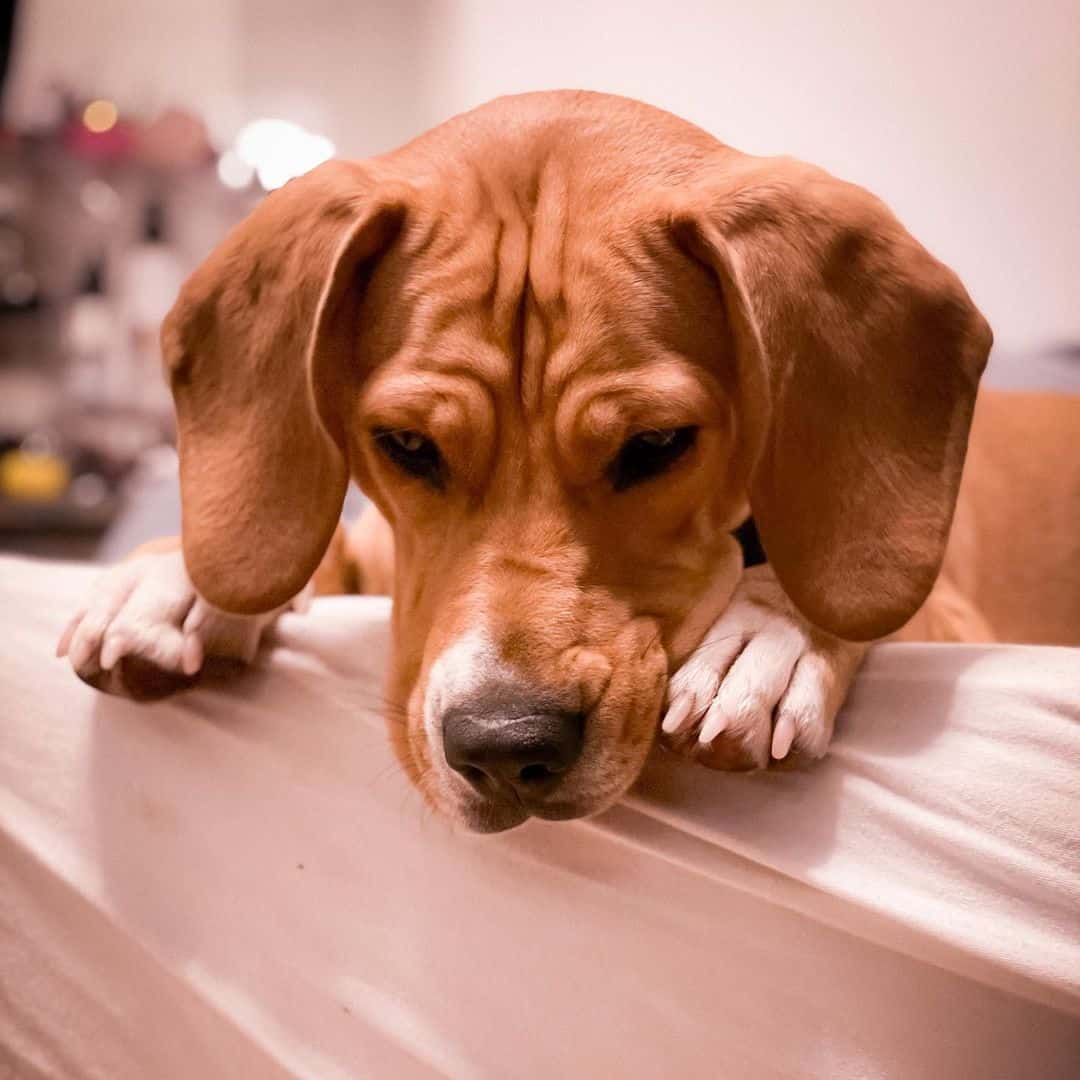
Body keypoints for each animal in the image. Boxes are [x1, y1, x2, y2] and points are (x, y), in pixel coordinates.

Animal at [61, 92, 1080, 833]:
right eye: (406, 447)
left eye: (657, 445)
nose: (505, 746)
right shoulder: (377, 549)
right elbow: (316, 551)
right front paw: (177, 581)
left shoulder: (956, 608)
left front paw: (771, 632)